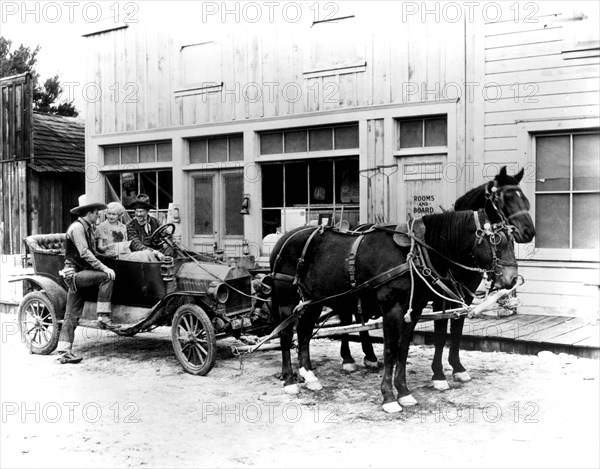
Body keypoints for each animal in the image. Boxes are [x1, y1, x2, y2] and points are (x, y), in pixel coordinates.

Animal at [270, 210, 516, 412]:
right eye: (497, 241)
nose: (512, 279)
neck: (414, 254)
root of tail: (283, 239)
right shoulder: (392, 310)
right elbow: (390, 351)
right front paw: (388, 397)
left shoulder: (413, 311)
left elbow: (403, 350)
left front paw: (404, 392)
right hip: (288, 300)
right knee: (286, 335)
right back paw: (290, 380)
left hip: (314, 300)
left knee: (304, 333)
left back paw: (310, 376)